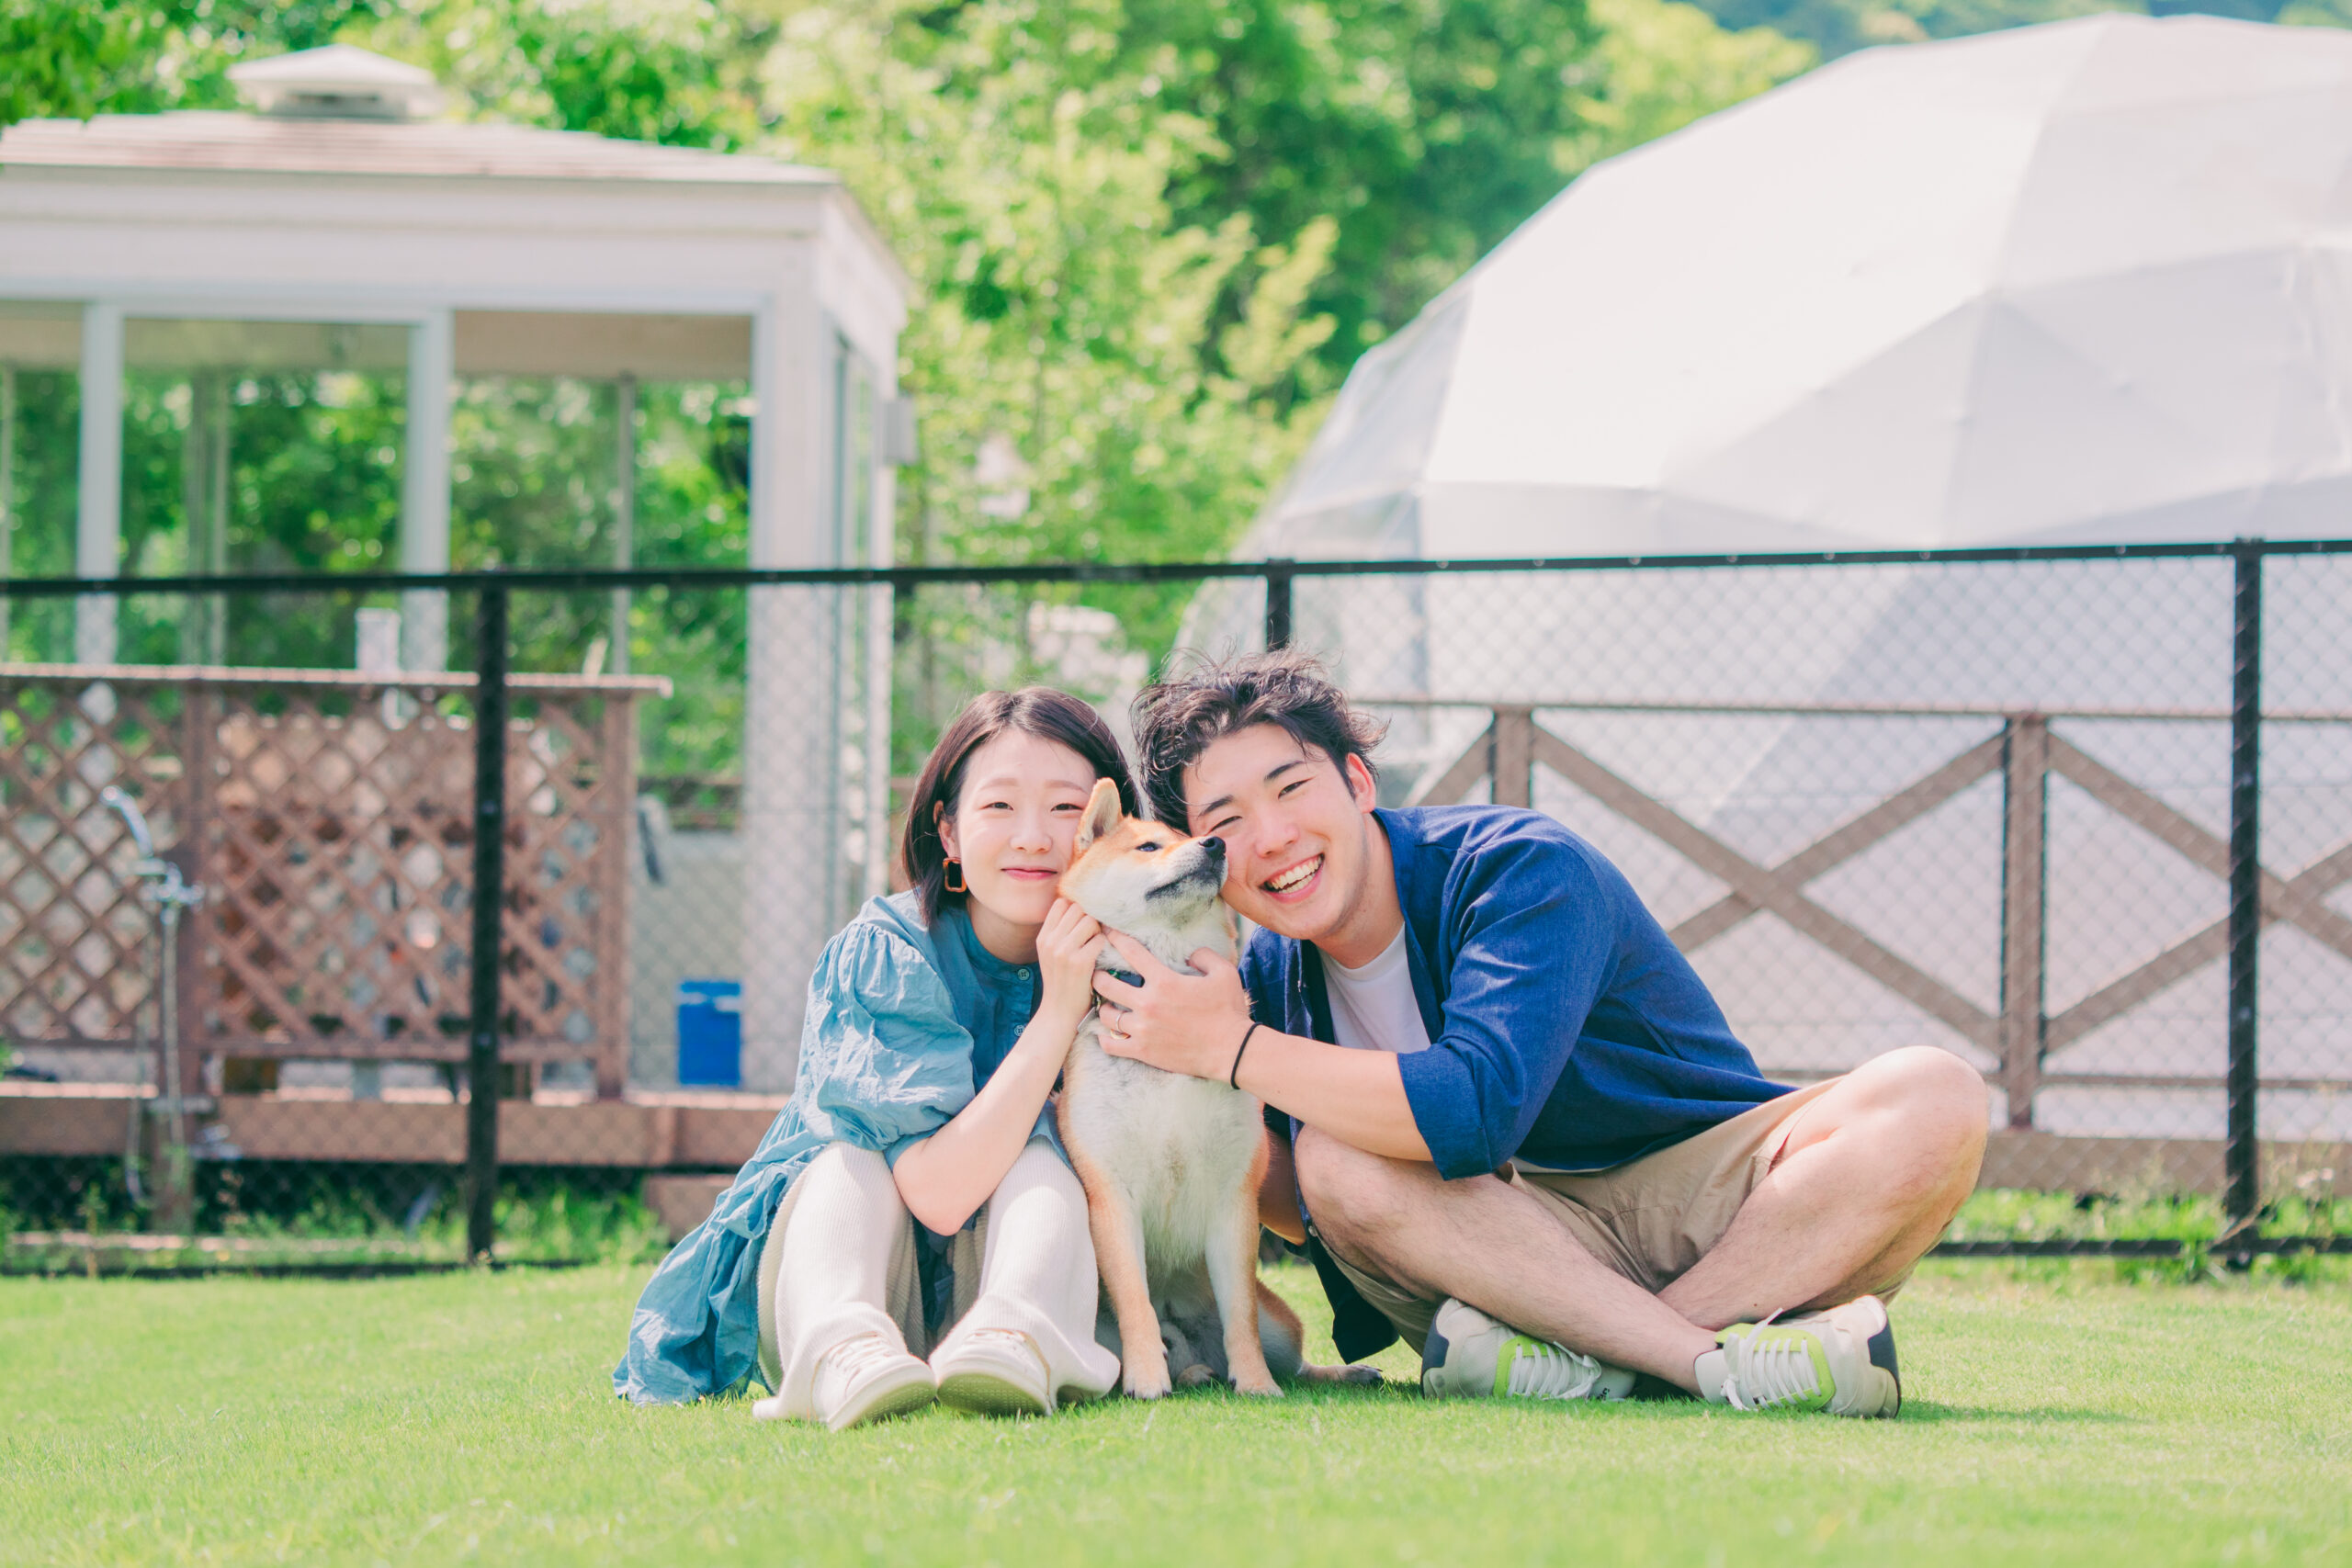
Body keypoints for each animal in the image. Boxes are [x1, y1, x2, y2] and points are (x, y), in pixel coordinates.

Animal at [1058, 780, 1374, 1401]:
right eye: (1149, 846)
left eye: (1198, 835)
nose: (1216, 845)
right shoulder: (1110, 1195)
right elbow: (1135, 1302)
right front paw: (1147, 1379)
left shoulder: (1234, 1200)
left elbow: (1240, 1316)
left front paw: (1254, 1383)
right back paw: (1185, 1372)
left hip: (1283, 1323)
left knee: (1293, 1358)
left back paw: (1335, 1372)